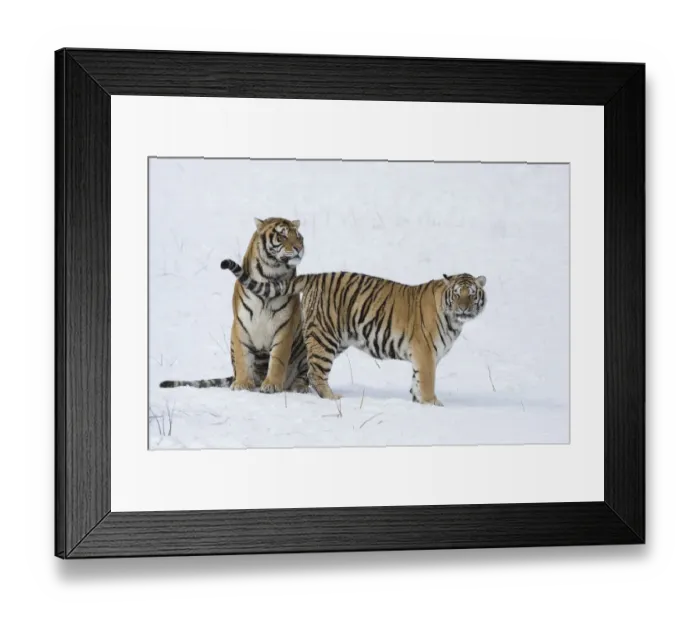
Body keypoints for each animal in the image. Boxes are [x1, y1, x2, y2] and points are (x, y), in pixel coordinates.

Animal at [159, 218, 309, 393]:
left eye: (299, 237)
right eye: (282, 236)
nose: (299, 248)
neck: (270, 277)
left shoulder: (284, 326)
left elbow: (278, 359)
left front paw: (271, 384)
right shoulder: (241, 324)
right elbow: (242, 357)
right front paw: (242, 384)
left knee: (304, 376)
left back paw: (298, 387)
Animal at [220, 258, 487, 406]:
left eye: (472, 294)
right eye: (458, 294)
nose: (464, 307)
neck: (454, 321)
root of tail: (316, 276)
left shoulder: (422, 357)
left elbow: (416, 381)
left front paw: (419, 402)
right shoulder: (426, 353)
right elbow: (428, 381)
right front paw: (433, 403)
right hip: (325, 339)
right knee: (316, 374)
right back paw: (333, 398)